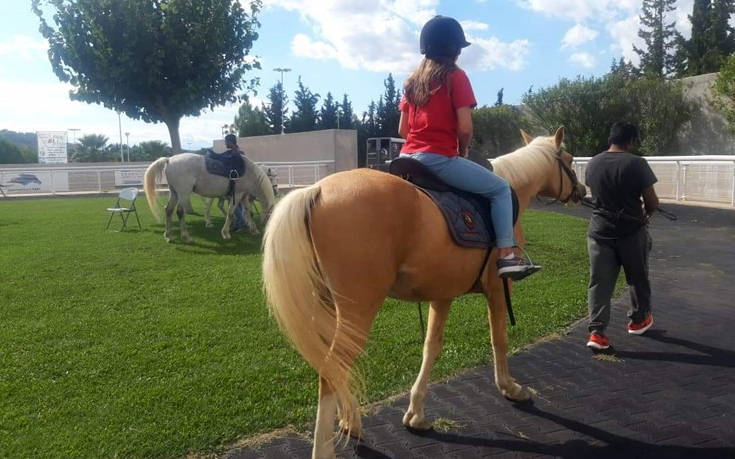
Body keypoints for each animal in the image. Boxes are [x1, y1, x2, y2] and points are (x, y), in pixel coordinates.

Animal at [143, 153, 275, 242]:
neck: (250, 173)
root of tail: (169, 160)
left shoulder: (243, 196)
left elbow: (248, 212)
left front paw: (254, 230)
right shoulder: (237, 195)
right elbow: (230, 213)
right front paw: (225, 233)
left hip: (174, 193)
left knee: (169, 210)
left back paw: (168, 235)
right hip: (183, 193)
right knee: (180, 211)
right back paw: (186, 236)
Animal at [262, 127, 586, 458]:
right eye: (569, 158)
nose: (582, 190)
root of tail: (317, 190)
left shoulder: (443, 294)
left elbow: (431, 346)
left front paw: (416, 413)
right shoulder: (498, 289)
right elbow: (499, 339)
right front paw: (510, 387)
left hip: (330, 306)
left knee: (333, 365)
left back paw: (350, 422)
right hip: (359, 308)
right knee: (331, 369)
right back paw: (326, 446)